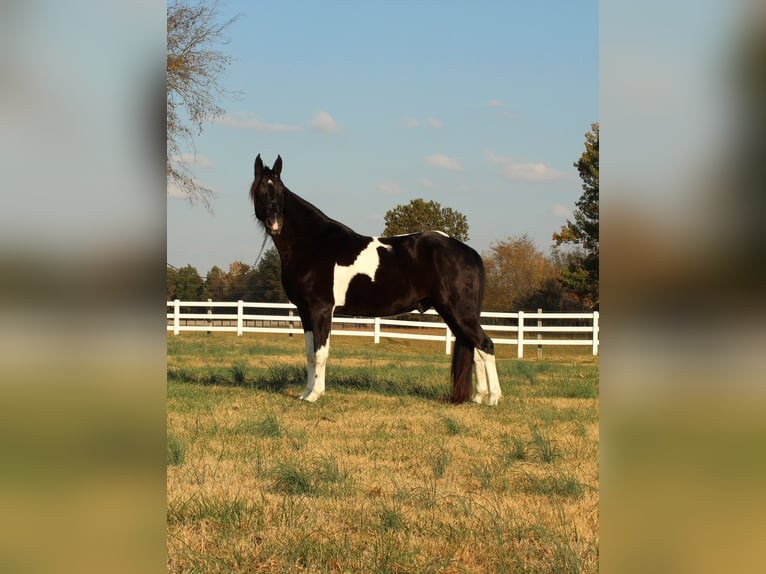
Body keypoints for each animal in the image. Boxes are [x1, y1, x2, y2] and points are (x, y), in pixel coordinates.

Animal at [250, 153, 504, 404]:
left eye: (280, 191)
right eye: (261, 189)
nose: (275, 224)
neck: (313, 244)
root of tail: (468, 251)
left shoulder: (320, 309)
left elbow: (320, 354)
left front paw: (315, 395)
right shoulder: (304, 311)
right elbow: (310, 354)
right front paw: (305, 394)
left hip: (458, 311)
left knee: (486, 345)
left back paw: (493, 398)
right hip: (453, 312)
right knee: (475, 349)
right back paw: (478, 397)